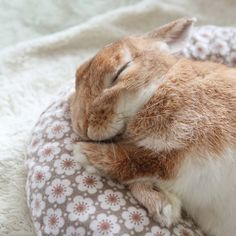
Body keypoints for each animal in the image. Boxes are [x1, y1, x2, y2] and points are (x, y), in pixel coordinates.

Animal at [69, 18, 236, 236]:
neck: (158, 85)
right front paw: (165, 206)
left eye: (121, 70)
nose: (82, 125)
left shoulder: (197, 142)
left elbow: (151, 161)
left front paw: (84, 153)